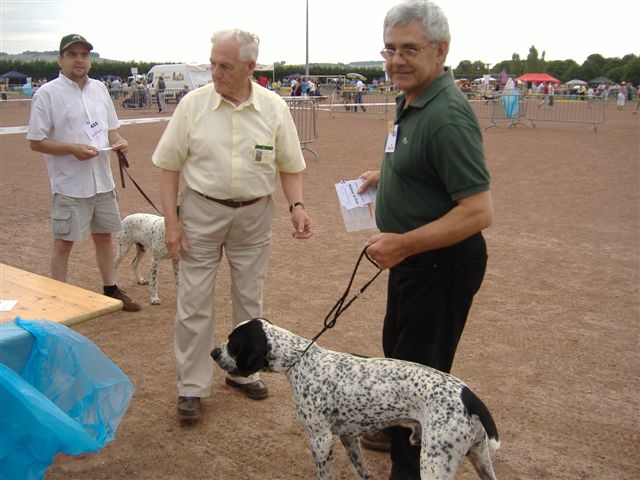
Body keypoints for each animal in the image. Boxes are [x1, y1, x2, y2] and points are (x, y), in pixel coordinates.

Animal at [211, 319, 500, 480]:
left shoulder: (321, 440)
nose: (213, 352)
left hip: (435, 462)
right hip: (480, 459)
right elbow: (361, 471)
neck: (303, 361)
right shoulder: (348, 437)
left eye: (232, 343)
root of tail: (469, 396)